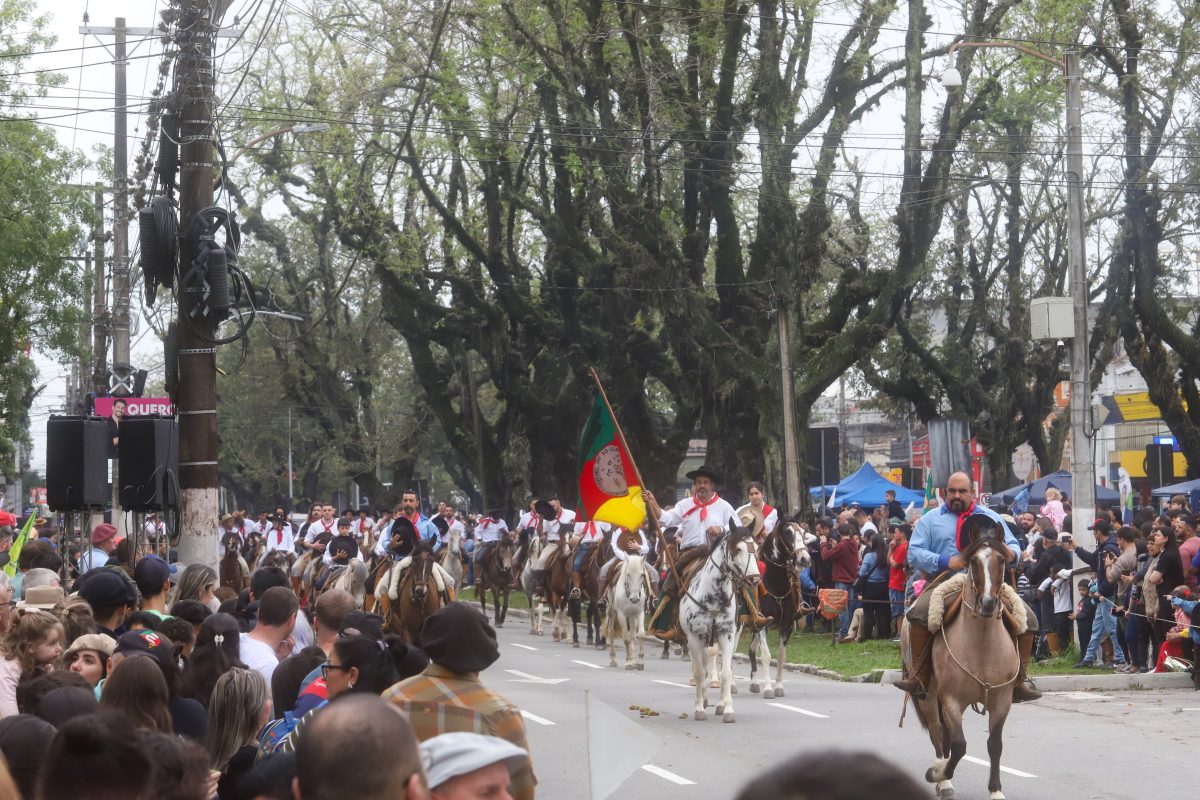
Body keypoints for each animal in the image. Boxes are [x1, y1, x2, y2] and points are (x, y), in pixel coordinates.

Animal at [681, 525, 763, 724]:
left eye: (756, 548)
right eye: (738, 549)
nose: (755, 579)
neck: (713, 598)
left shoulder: (727, 636)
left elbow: (726, 672)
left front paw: (727, 709)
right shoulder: (695, 638)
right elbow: (699, 673)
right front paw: (699, 708)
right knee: (702, 667)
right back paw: (703, 700)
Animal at [744, 522, 811, 695]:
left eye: (803, 532)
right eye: (788, 532)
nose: (805, 559)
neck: (775, 583)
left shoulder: (787, 624)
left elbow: (781, 655)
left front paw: (779, 686)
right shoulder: (764, 624)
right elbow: (766, 655)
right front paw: (768, 689)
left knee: (751, 649)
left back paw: (754, 682)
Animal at [902, 527, 1017, 796]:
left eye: (1002, 560)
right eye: (973, 561)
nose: (988, 603)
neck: (983, 647)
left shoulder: (1002, 701)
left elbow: (995, 745)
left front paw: (995, 790)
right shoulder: (951, 700)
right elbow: (959, 745)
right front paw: (937, 773)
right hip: (929, 697)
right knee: (938, 733)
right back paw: (942, 778)